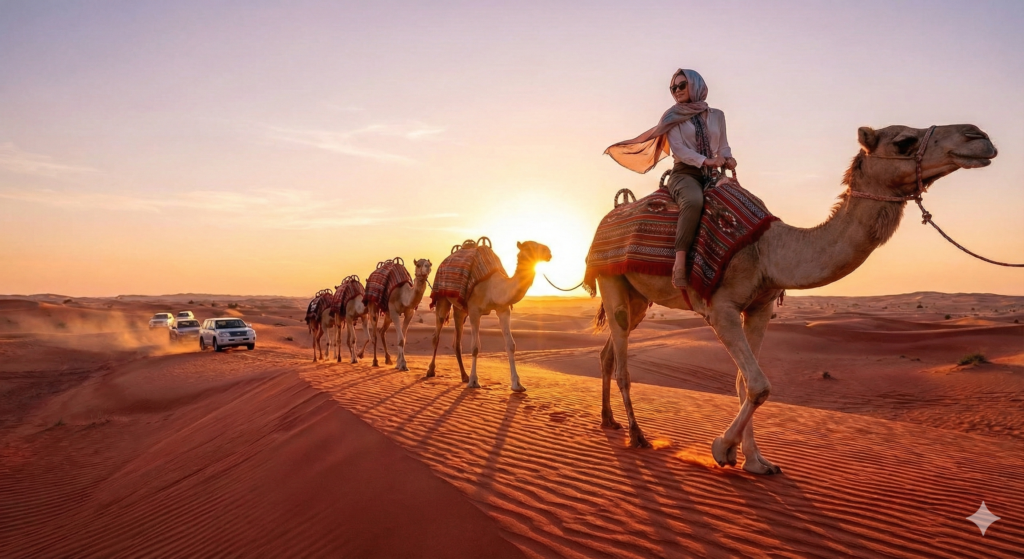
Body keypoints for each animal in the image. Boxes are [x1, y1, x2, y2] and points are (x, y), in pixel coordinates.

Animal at [426, 241, 552, 392]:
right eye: (530, 247)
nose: (548, 252)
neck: (493, 287)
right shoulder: (474, 311)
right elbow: (475, 347)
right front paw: (474, 381)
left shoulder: (503, 309)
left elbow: (511, 345)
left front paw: (517, 384)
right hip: (442, 298)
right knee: (436, 335)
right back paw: (431, 371)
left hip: (460, 309)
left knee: (456, 341)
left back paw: (464, 375)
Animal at [593, 124, 997, 475]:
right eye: (903, 142)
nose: (979, 137)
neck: (769, 250)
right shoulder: (721, 309)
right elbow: (759, 384)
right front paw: (723, 449)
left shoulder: (759, 307)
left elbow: (744, 383)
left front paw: (756, 462)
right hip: (610, 279)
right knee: (624, 363)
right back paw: (638, 436)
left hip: (638, 297)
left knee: (610, 351)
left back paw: (609, 421)